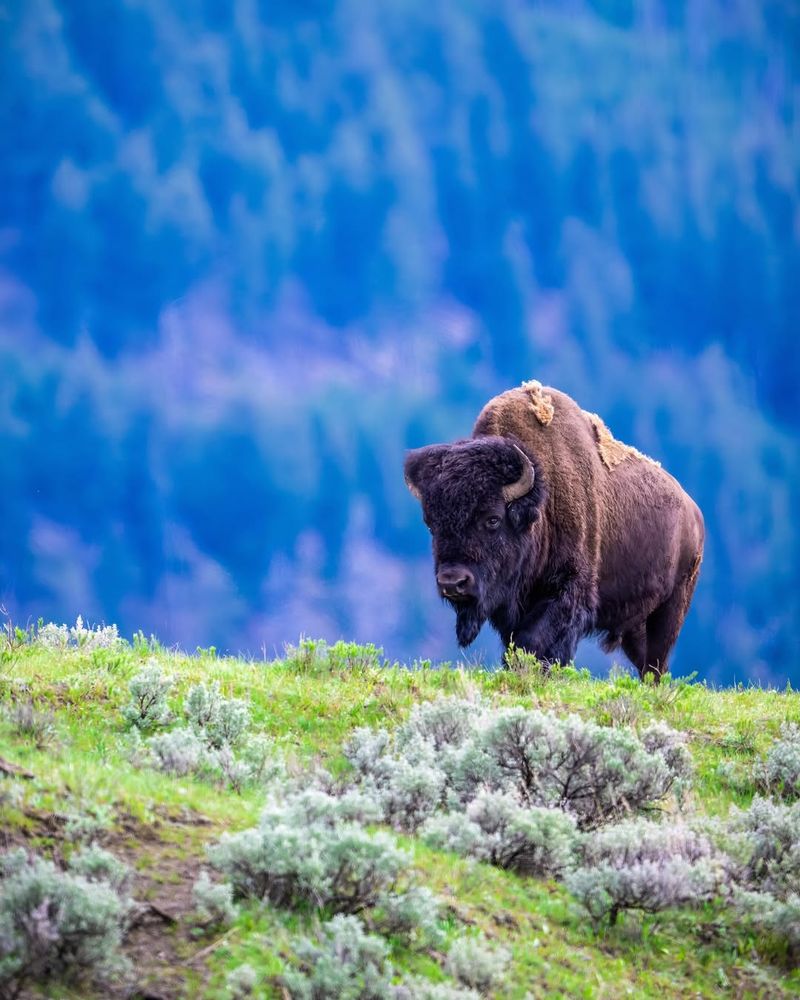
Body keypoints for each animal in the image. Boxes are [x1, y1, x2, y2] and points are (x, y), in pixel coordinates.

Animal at [404, 382, 704, 680]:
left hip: (671, 609)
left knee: (656, 663)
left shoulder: (567, 594)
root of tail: (693, 514)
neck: (540, 508)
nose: (452, 582)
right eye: (431, 523)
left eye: (493, 519)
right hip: (635, 624)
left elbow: (534, 642)